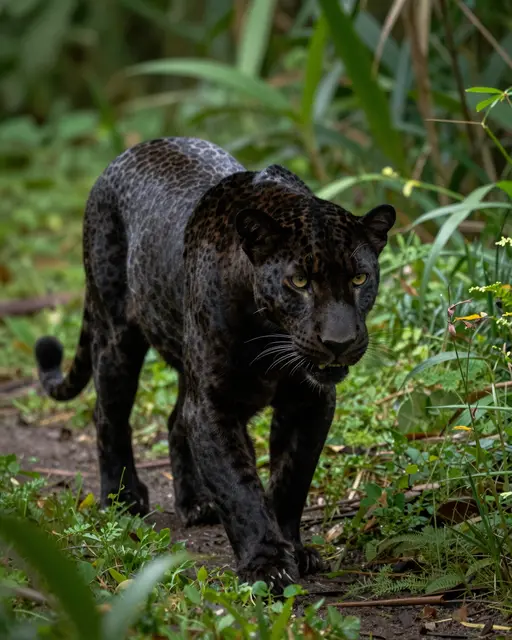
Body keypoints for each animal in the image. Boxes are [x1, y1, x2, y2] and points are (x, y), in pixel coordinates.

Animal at [34, 137, 395, 592]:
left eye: (359, 279)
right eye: (299, 282)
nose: (339, 342)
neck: (268, 335)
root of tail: (133, 149)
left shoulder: (309, 403)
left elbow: (291, 480)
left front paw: (293, 549)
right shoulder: (213, 405)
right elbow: (239, 488)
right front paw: (266, 565)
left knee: (174, 420)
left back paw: (196, 503)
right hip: (117, 334)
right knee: (109, 414)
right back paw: (122, 499)